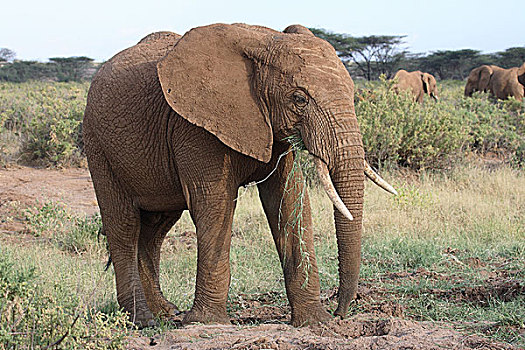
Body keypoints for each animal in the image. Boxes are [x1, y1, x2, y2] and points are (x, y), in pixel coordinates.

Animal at [82, 23, 396, 328]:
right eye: (299, 99)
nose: (340, 313)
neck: (264, 40)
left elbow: (289, 201)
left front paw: (315, 322)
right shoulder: (194, 126)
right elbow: (214, 203)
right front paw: (207, 323)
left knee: (155, 227)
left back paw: (164, 313)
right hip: (98, 145)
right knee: (124, 226)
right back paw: (142, 320)